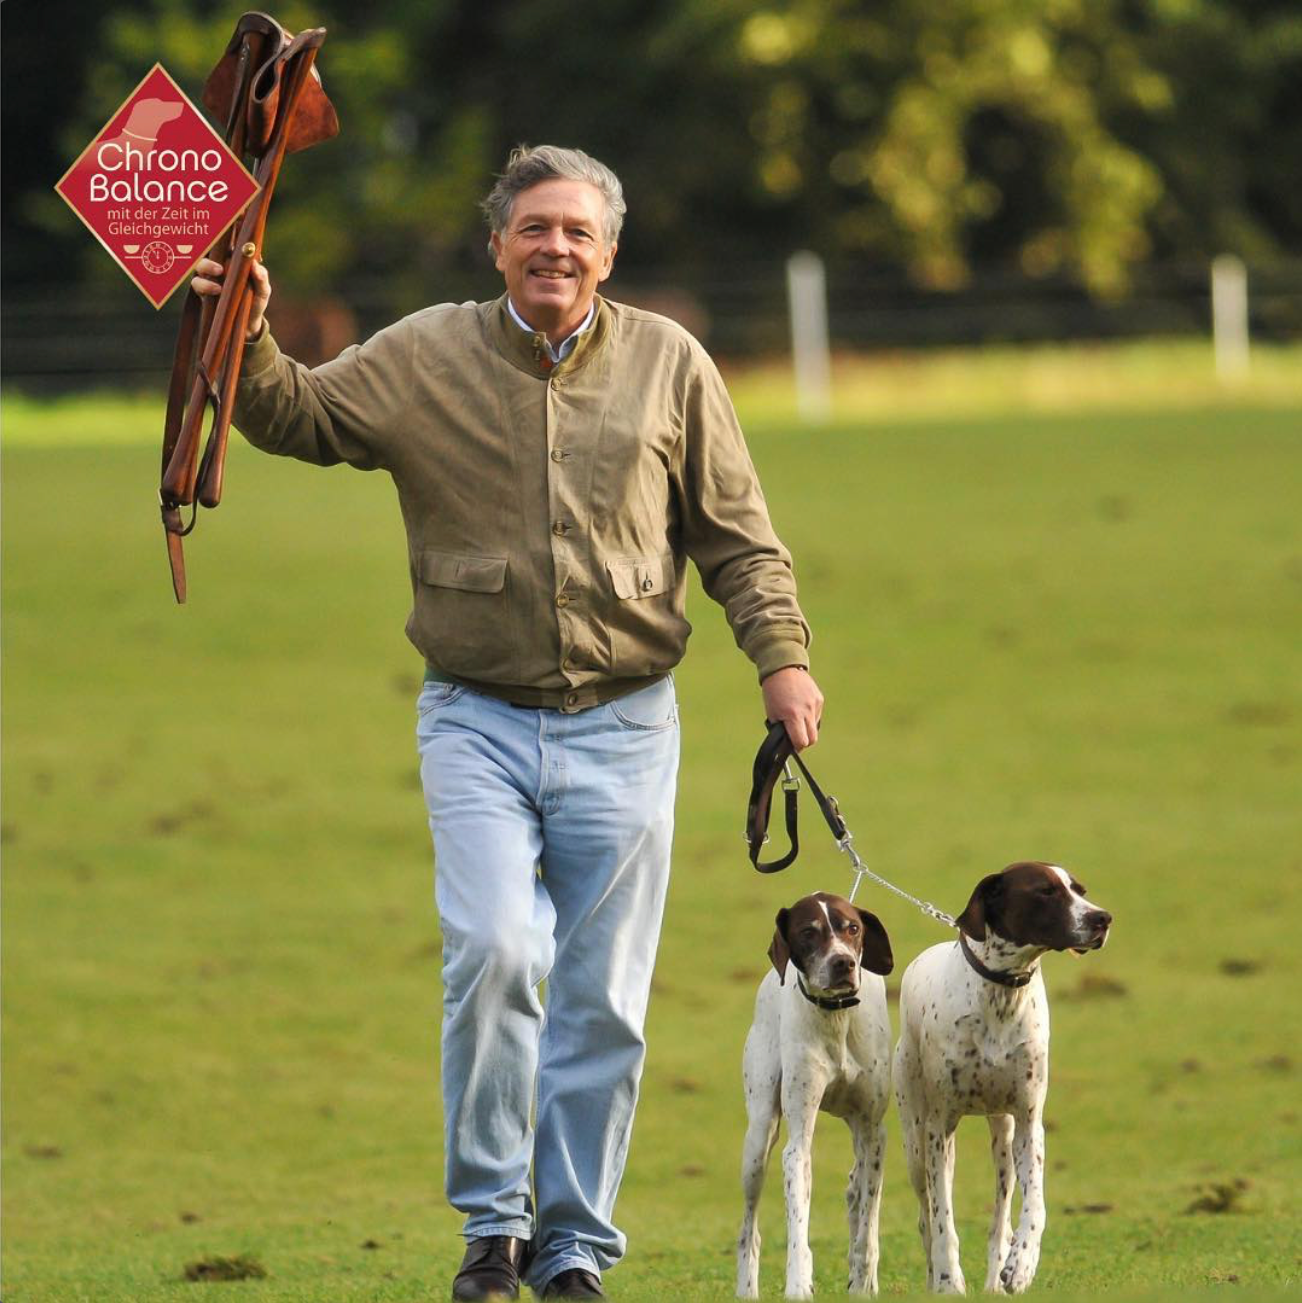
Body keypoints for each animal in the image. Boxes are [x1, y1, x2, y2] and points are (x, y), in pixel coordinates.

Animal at [740, 891, 891, 1297]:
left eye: (852, 928)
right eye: (808, 932)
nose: (843, 963)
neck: (835, 1017)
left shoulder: (873, 1133)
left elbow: (867, 1228)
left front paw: (864, 1282)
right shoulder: (797, 1144)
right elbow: (797, 1221)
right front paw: (798, 1282)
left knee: (855, 1190)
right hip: (757, 1142)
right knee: (749, 1231)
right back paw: (747, 1288)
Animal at [896, 859, 1110, 1297]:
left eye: (1079, 890)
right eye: (1045, 891)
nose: (1102, 918)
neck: (1001, 992)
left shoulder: (1028, 1123)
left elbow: (1035, 1207)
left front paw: (1022, 1264)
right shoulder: (939, 1129)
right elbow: (943, 1219)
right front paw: (948, 1279)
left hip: (1003, 1138)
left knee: (1000, 1217)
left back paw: (997, 1273)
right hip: (916, 1139)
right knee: (927, 1215)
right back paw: (937, 1274)